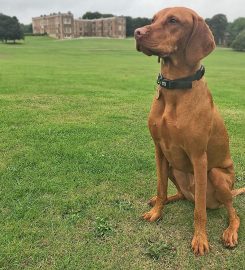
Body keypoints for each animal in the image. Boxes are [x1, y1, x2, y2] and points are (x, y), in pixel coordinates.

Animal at [134, 6, 245, 255]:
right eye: (153, 19)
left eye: (173, 21)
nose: (137, 32)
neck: (175, 88)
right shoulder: (159, 151)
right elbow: (161, 188)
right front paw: (156, 211)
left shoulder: (199, 157)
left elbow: (199, 211)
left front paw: (200, 239)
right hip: (173, 167)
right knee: (181, 195)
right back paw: (165, 200)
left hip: (217, 176)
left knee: (231, 212)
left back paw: (230, 232)